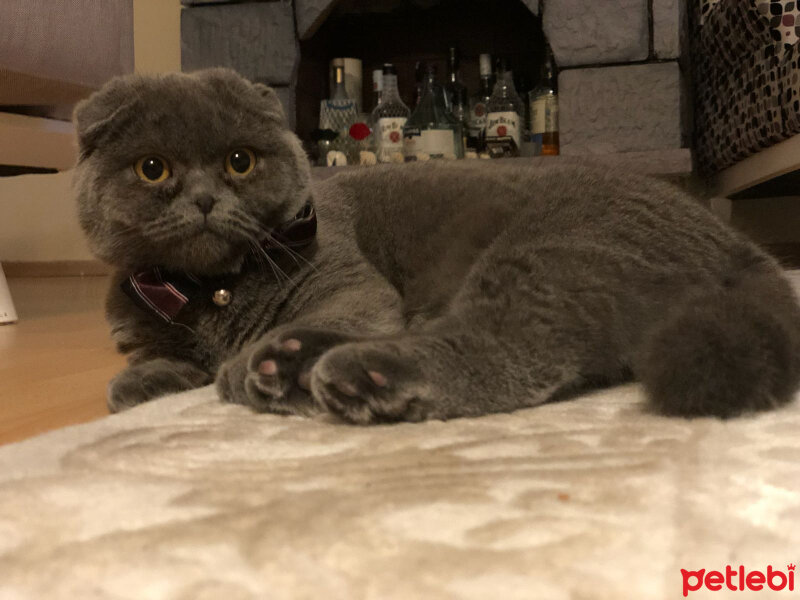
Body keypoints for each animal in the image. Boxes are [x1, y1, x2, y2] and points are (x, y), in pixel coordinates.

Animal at [73, 69, 800, 422]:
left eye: (239, 161)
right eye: (153, 169)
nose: (202, 199)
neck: (211, 289)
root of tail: (739, 246)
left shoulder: (347, 281)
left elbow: (349, 307)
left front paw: (221, 370)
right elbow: (134, 372)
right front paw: (152, 379)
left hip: (555, 249)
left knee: (506, 351)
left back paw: (322, 372)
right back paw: (289, 363)